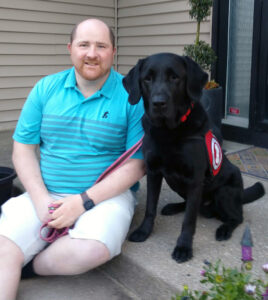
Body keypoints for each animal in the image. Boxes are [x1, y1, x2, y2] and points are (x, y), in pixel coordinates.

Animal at [122, 53, 264, 262]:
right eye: (147, 79)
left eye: (174, 77)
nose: (158, 103)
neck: (168, 132)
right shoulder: (153, 172)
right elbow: (150, 207)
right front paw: (144, 231)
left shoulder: (195, 179)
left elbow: (189, 220)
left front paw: (183, 247)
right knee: (193, 205)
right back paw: (174, 207)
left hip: (224, 192)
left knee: (236, 216)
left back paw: (224, 229)